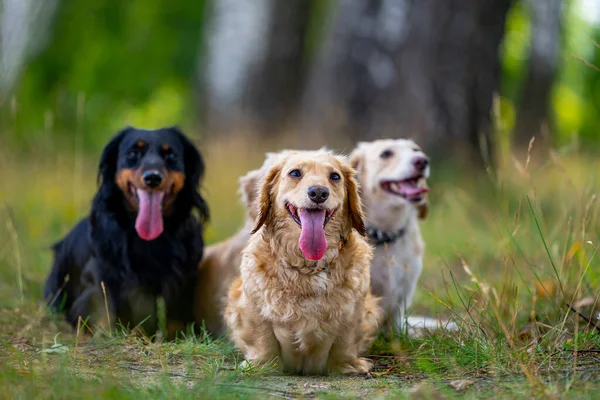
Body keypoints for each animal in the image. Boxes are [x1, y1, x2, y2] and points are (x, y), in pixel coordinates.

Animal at [44, 126, 209, 338]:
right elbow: (104, 307)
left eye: (171, 155)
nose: (153, 178)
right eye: (132, 153)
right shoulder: (100, 274)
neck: (148, 239)